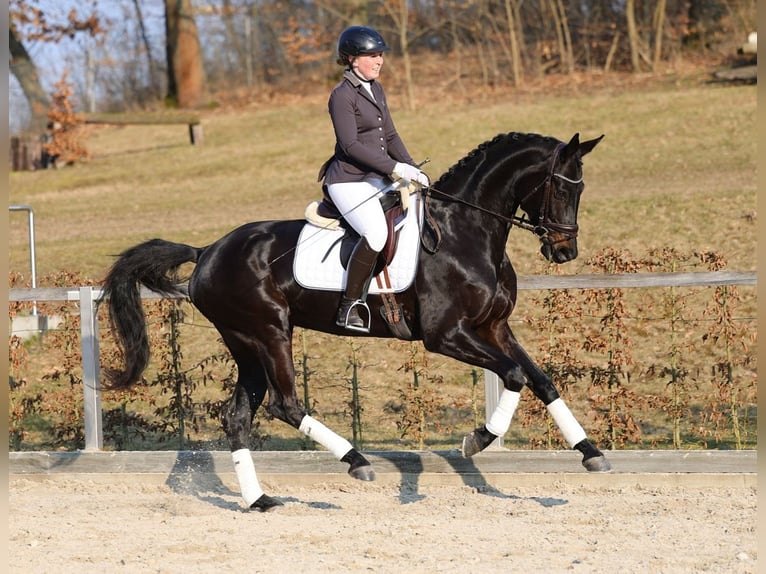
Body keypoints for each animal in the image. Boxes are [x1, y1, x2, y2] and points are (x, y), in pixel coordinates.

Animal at [100, 131, 609, 511]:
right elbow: (516, 375)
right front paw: (478, 439)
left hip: (247, 345)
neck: (467, 231)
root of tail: (207, 251)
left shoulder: (493, 328)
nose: (565, 251)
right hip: (268, 333)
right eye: (562, 186)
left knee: (238, 416)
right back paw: (356, 460)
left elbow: (540, 380)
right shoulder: (447, 335)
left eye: (582, 188)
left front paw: (590, 453)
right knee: (285, 404)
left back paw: (260, 500)